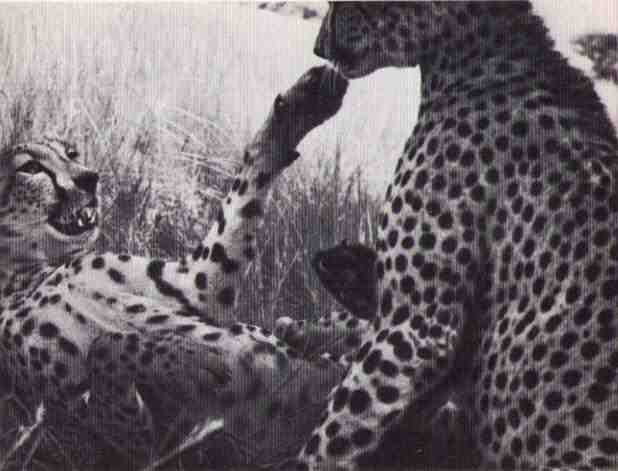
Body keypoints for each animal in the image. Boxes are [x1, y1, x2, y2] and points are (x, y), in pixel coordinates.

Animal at [0, 65, 349, 468]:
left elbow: (243, 192)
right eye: (31, 168)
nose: (89, 177)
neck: (27, 269)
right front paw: (195, 358)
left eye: (72, 153)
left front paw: (297, 108)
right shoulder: (135, 441)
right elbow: (107, 347)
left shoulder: (198, 285)